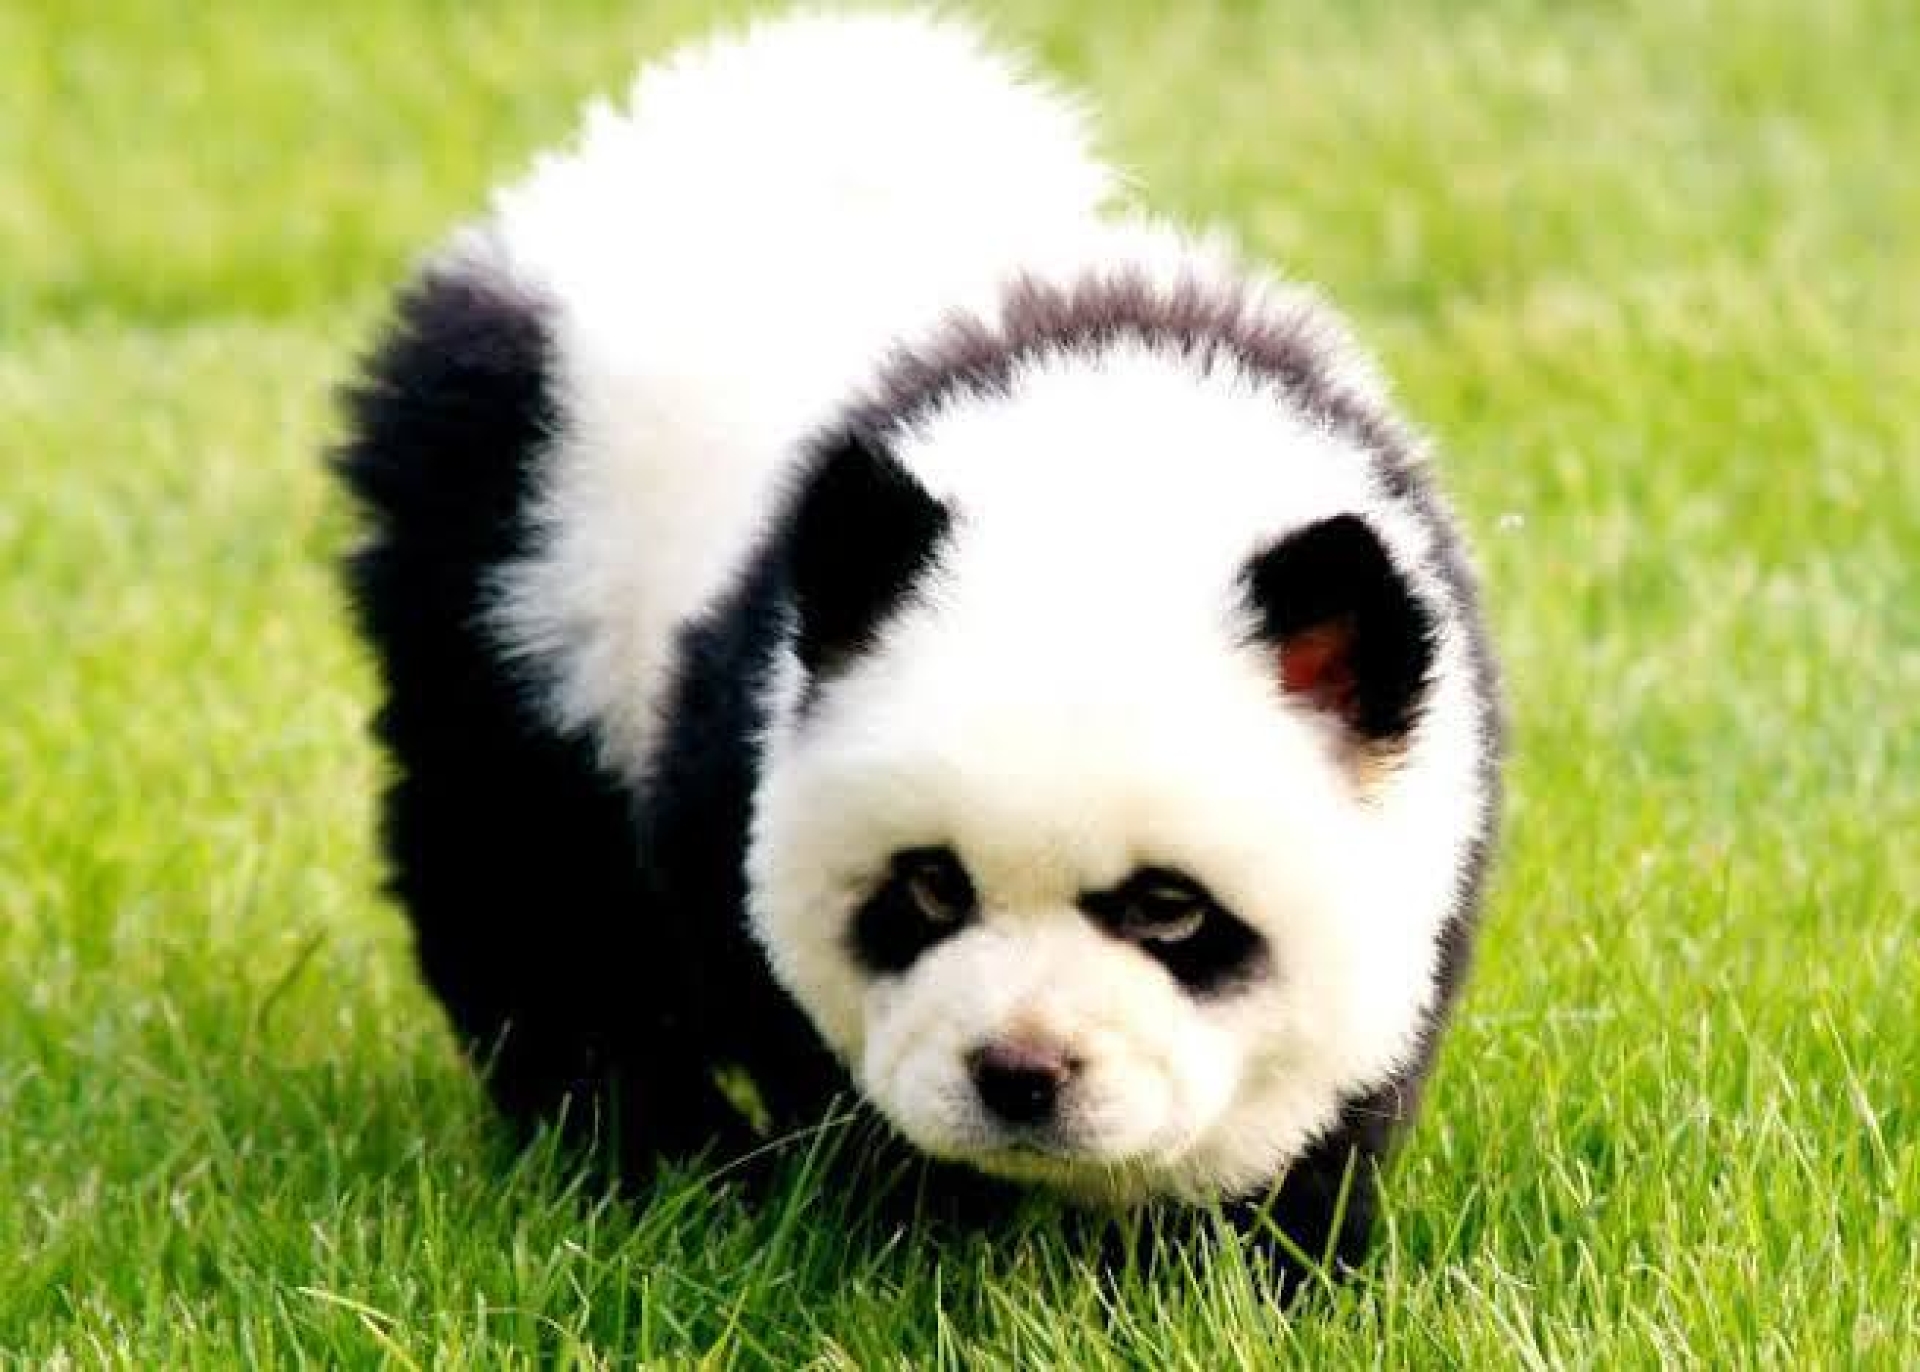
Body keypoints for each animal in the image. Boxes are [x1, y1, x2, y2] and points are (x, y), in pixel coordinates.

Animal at [333, 9, 1502, 1289]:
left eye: (1169, 907)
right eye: (930, 885)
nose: (1020, 1075)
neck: (1121, 469)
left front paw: (1253, 1266)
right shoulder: (739, 724)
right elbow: (777, 993)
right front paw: (906, 1243)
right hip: (517, 555)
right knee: (519, 866)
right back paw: (643, 1148)